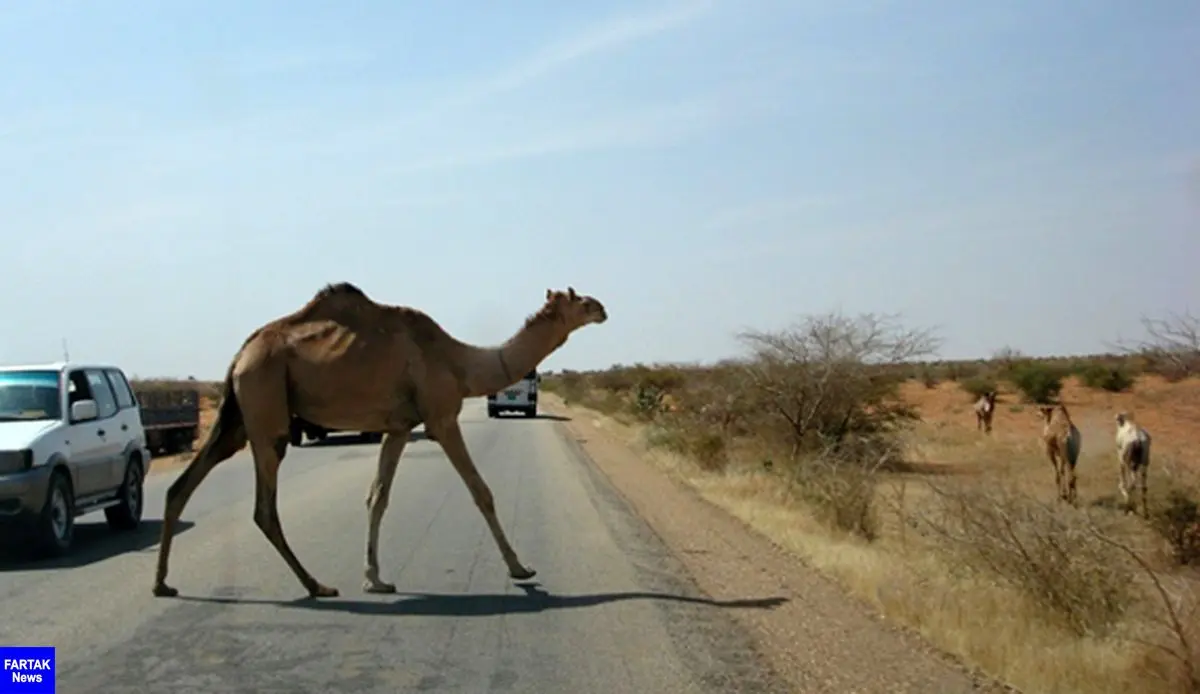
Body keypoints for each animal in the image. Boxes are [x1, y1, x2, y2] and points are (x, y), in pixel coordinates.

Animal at [151, 280, 609, 595]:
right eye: (579, 299)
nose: (603, 308)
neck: (460, 362)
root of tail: (241, 353)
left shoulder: (399, 428)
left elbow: (377, 497)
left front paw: (375, 579)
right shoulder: (441, 418)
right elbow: (481, 491)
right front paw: (521, 569)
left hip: (238, 415)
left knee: (183, 484)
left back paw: (163, 584)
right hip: (266, 404)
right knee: (264, 507)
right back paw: (316, 586)